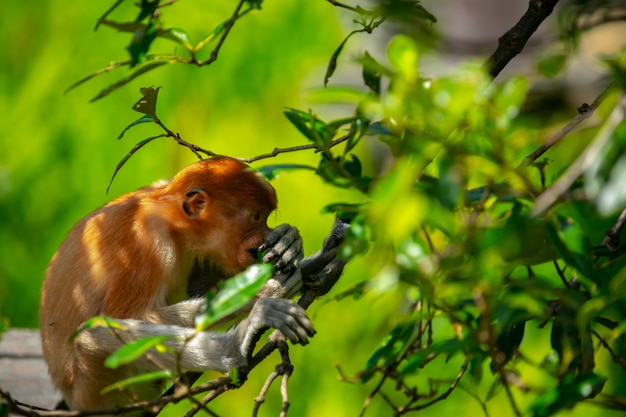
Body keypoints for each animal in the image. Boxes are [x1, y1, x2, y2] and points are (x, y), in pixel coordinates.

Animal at [39, 156, 320, 410]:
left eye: (265, 217)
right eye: (256, 217)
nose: (265, 234)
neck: (171, 216)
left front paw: (288, 242)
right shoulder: (145, 241)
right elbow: (125, 317)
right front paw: (265, 291)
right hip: (94, 385)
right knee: (93, 335)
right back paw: (237, 344)